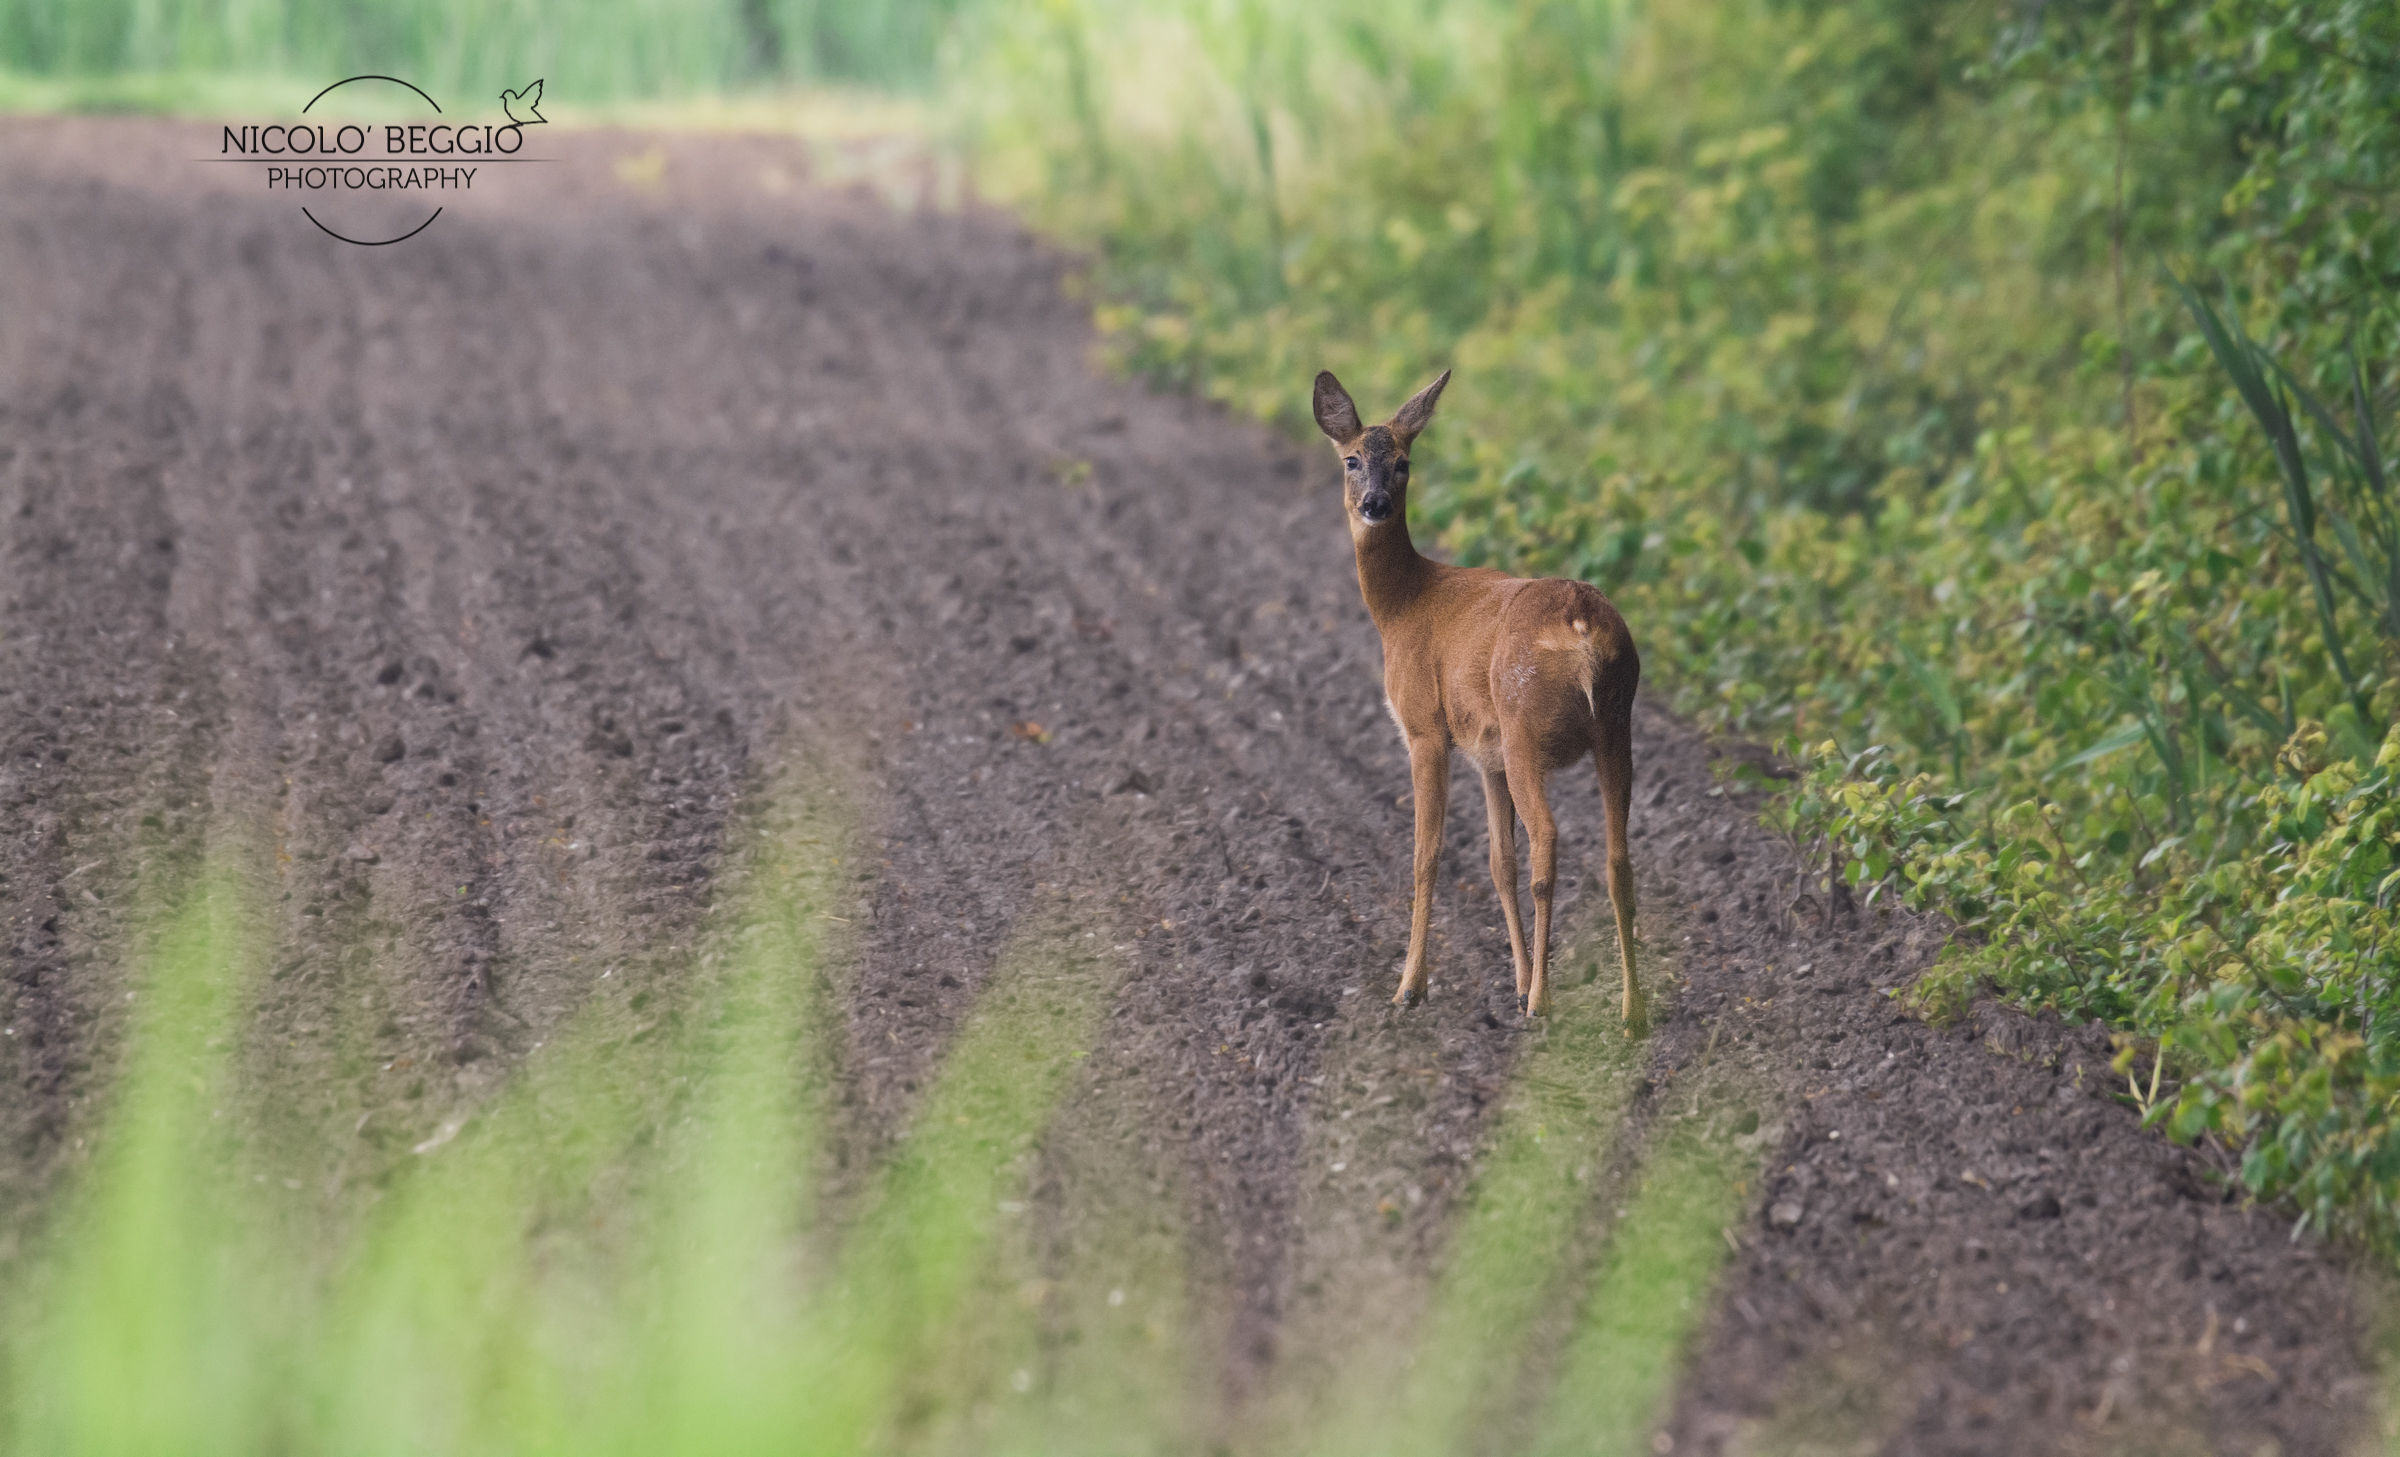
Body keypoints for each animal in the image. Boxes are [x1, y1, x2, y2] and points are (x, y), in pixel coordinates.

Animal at [1313, 369, 1645, 1032]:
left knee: (1549, 840)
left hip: (1525, 722)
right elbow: (1498, 862)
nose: (1375, 504)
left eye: (1405, 463)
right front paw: (1515, 982)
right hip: (1614, 724)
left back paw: (1545, 1002)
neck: (1403, 606)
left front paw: (1409, 988)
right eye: (1352, 459)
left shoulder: (1424, 728)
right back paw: (1632, 1011)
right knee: (1617, 858)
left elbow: (1427, 855)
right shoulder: (1484, 753)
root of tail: (1582, 625)